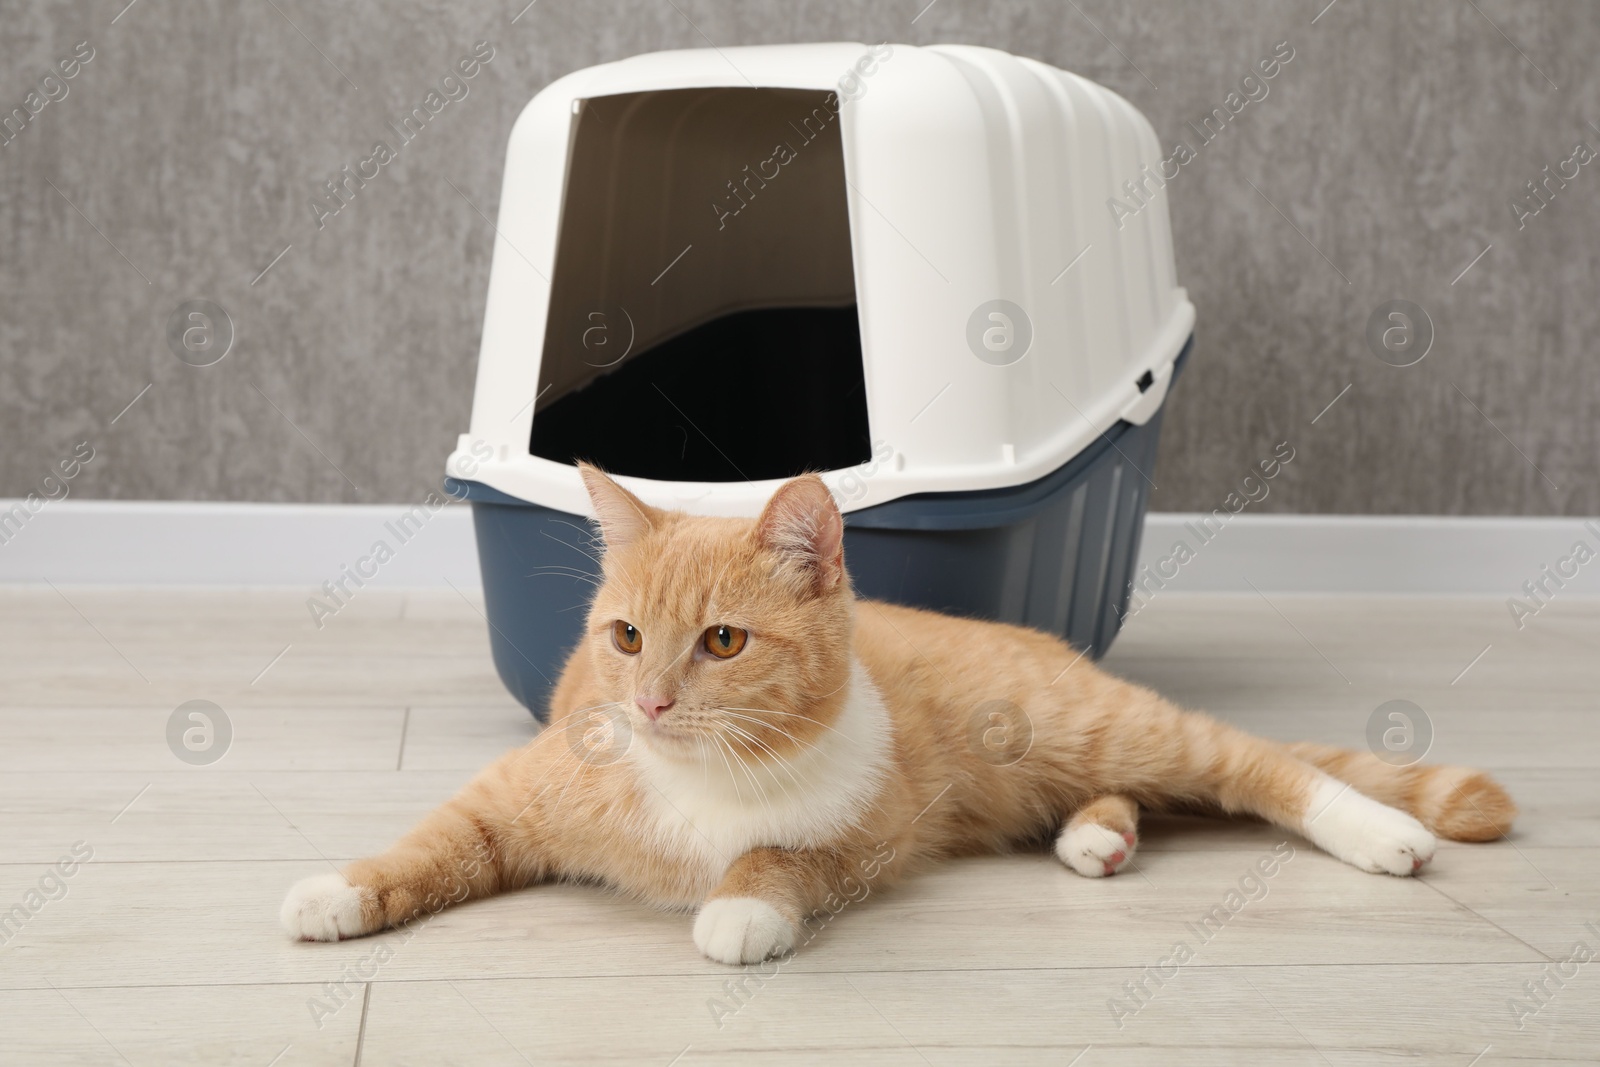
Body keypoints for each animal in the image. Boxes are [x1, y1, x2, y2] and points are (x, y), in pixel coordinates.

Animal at [281, 470, 1516, 966]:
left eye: (721, 642)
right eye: (625, 636)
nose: (648, 703)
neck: (699, 779)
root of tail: (1044, 642)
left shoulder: (868, 834)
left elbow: (782, 857)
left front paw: (740, 908)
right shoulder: (522, 788)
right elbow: (437, 840)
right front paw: (339, 889)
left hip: (1101, 725)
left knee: (1255, 762)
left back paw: (1380, 830)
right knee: (1131, 799)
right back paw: (1097, 837)